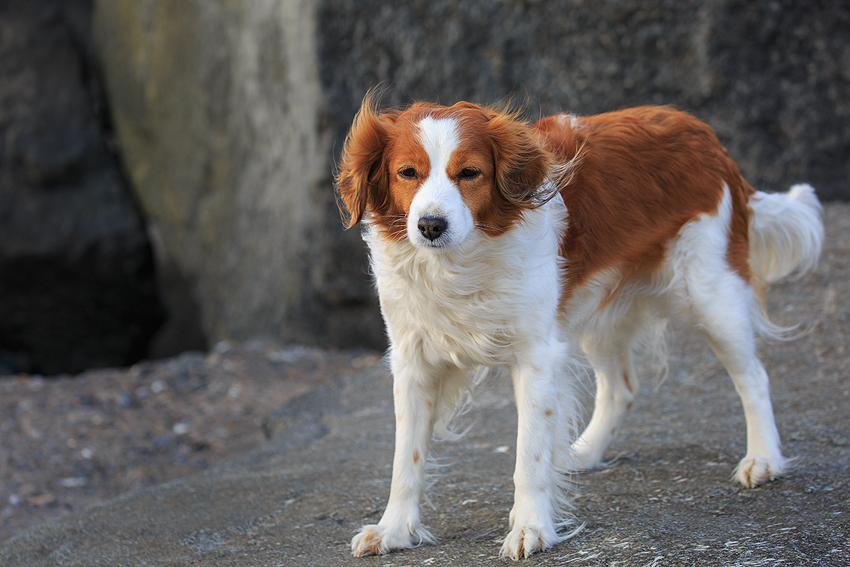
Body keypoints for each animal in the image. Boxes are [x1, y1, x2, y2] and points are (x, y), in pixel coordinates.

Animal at [336, 95, 820, 560]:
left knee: (754, 377)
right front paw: (395, 530)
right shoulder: (413, 362)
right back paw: (581, 454)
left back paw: (763, 458)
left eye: (470, 173)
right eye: (407, 172)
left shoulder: (536, 357)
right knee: (622, 387)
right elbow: (406, 459)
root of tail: (705, 135)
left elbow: (528, 456)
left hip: (710, 295)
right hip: (598, 312)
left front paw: (530, 527)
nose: (430, 225)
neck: (459, 262)